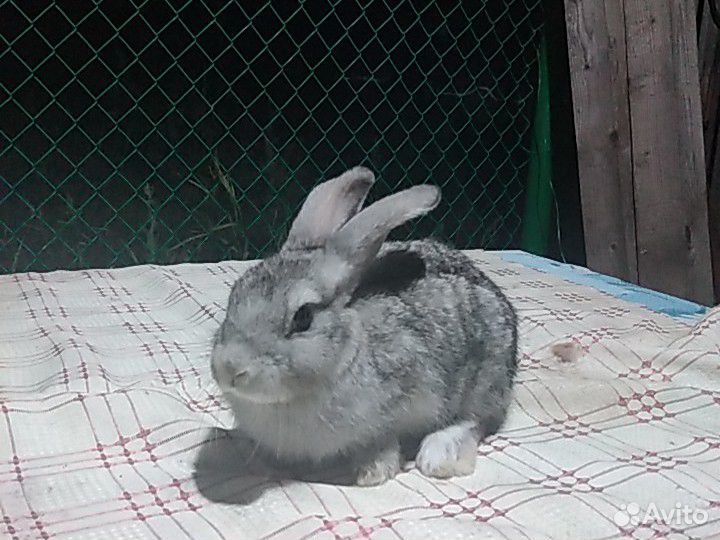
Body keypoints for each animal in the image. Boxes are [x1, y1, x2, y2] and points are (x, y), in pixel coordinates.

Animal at [210, 166, 518, 486]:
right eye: (235, 294)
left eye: (303, 317)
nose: (229, 368)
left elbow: (384, 440)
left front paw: (372, 472)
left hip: (485, 380)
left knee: (476, 419)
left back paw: (440, 456)